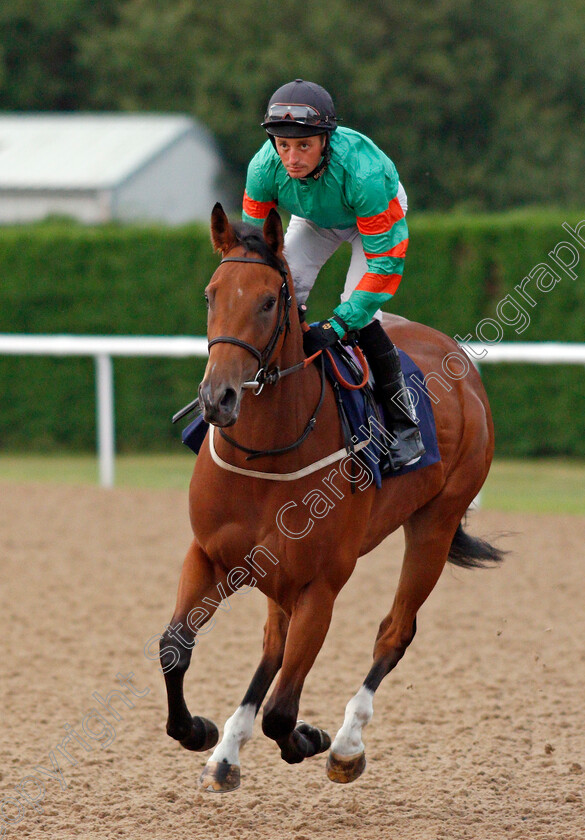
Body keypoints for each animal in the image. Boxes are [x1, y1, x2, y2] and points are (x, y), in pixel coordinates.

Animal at [159, 205, 502, 796]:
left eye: (268, 302)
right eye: (210, 295)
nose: (217, 398)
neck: (266, 456)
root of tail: (461, 363)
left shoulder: (321, 584)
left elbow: (282, 713)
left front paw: (311, 737)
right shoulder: (210, 555)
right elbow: (174, 647)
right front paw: (201, 731)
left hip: (435, 523)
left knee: (394, 632)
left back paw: (345, 744)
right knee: (273, 644)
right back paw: (227, 753)